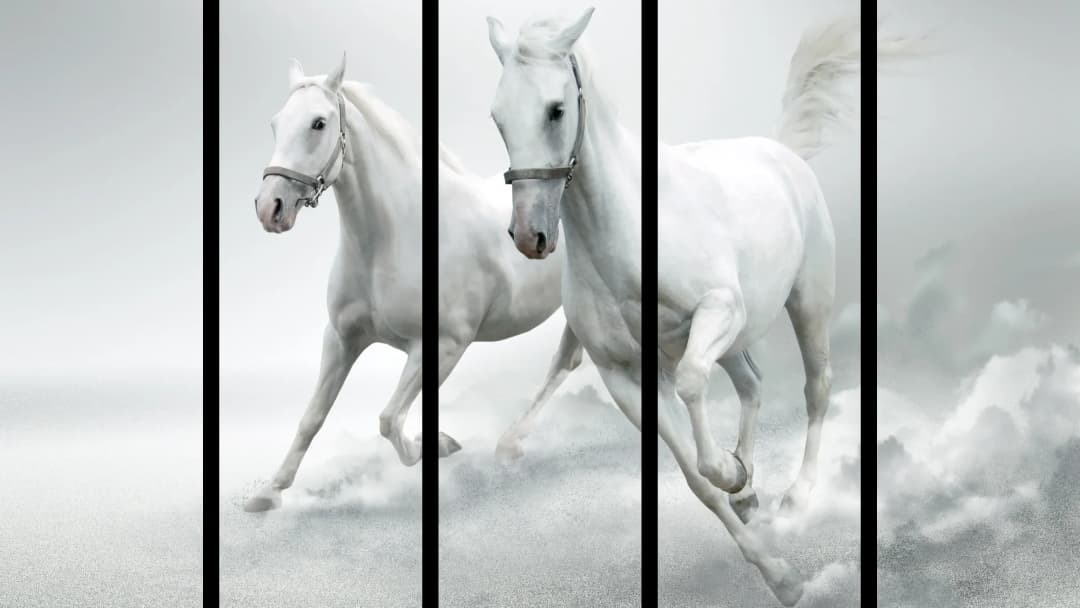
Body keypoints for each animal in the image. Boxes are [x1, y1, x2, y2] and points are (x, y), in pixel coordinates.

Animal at [243, 55, 576, 512]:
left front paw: (438, 444)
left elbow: (389, 420)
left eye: (318, 123)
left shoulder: (443, 346)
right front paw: (268, 492)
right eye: (276, 123)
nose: (269, 208)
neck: (396, 237)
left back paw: (509, 443)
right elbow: (312, 417)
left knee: (564, 364)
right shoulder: (341, 340)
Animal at [487, 9, 864, 605]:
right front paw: (775, 567)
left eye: (555, 109)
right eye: (498, 117)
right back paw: (749, 491)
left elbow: (691, 389)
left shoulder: (716, 311)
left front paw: (733, 476)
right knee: (752, 383)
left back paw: (797, 496)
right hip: (735, 342)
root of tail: (782, 154)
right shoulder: (626, 376)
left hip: (807, 303)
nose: (530, 236)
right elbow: (695, 480)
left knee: (817, 388)